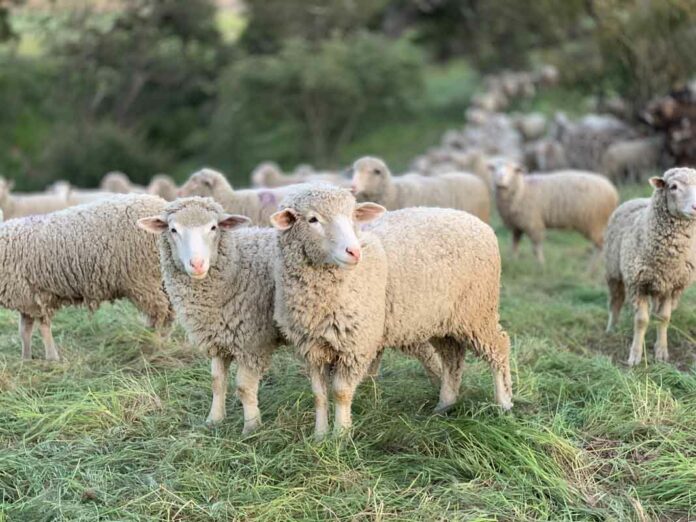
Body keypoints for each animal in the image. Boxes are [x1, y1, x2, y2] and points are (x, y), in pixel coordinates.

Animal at [0, 194, 173, 361]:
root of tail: (162, 204)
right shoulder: (25, 297)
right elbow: (25, 331)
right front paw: (26, 360)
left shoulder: (37, 296)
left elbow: (43, 328)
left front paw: (51, 358)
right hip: (160, 279)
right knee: (169, 311)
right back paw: (162, 341)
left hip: (144, 279)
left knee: (160, 312)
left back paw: (154, 343)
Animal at [137, 197, 281, 434]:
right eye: (173, 229)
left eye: (213, 227)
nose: (197, 264)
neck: (238, 266)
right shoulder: (217, 337)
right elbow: (216, 381)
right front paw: (214, 419)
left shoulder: (252, 341)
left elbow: (244, 388)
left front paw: (251, 428)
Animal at [271, 184, 512, 437]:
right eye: (313, 219)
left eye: (353, 215)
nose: (354, 252)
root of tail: (478, 223)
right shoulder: (311, 347)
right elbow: (319, 395)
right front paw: (319, 436)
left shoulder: (356, 344)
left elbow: (341, 392)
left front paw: (341, 435)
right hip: (441, 318)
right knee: (452, 357)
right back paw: (445, 404)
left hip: (478, 311)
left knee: (499, 347)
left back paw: (504, 404)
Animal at [490, 160, 619, 265]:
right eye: (494, 169)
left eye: (513, 169)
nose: (500, 178)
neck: (522, 190)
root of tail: (613, 191)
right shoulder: (517, 226)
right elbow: (514, 245)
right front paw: (514, 261)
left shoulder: (533, 224)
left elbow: (536, 248)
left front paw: (540, 264)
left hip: (594, 222)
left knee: (600, 246)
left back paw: (590, 270)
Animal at [604, 168, 696, 366]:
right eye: (673, 187)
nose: (695, 207)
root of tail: (636, 198)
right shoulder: (637, 284)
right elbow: (641, 321)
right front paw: (635, 356)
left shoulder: (672, 286)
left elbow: (664, 318)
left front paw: (661, 351)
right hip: (613, 271)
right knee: (615, 301)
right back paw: (611, 329)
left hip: (658, 285)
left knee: (655, 309)